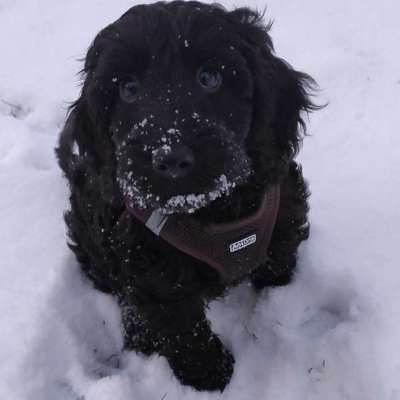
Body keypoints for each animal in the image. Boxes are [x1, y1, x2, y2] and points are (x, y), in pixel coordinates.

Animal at [57, 0, 318, 390]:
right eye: (128, 88)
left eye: (209, 78)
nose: (171, 159)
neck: (211, 211)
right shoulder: (149, 264)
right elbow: (181, 326)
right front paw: (210, 375)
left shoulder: (283, 211)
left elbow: (279, 259)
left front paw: (279, 295)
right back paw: (139, 336)